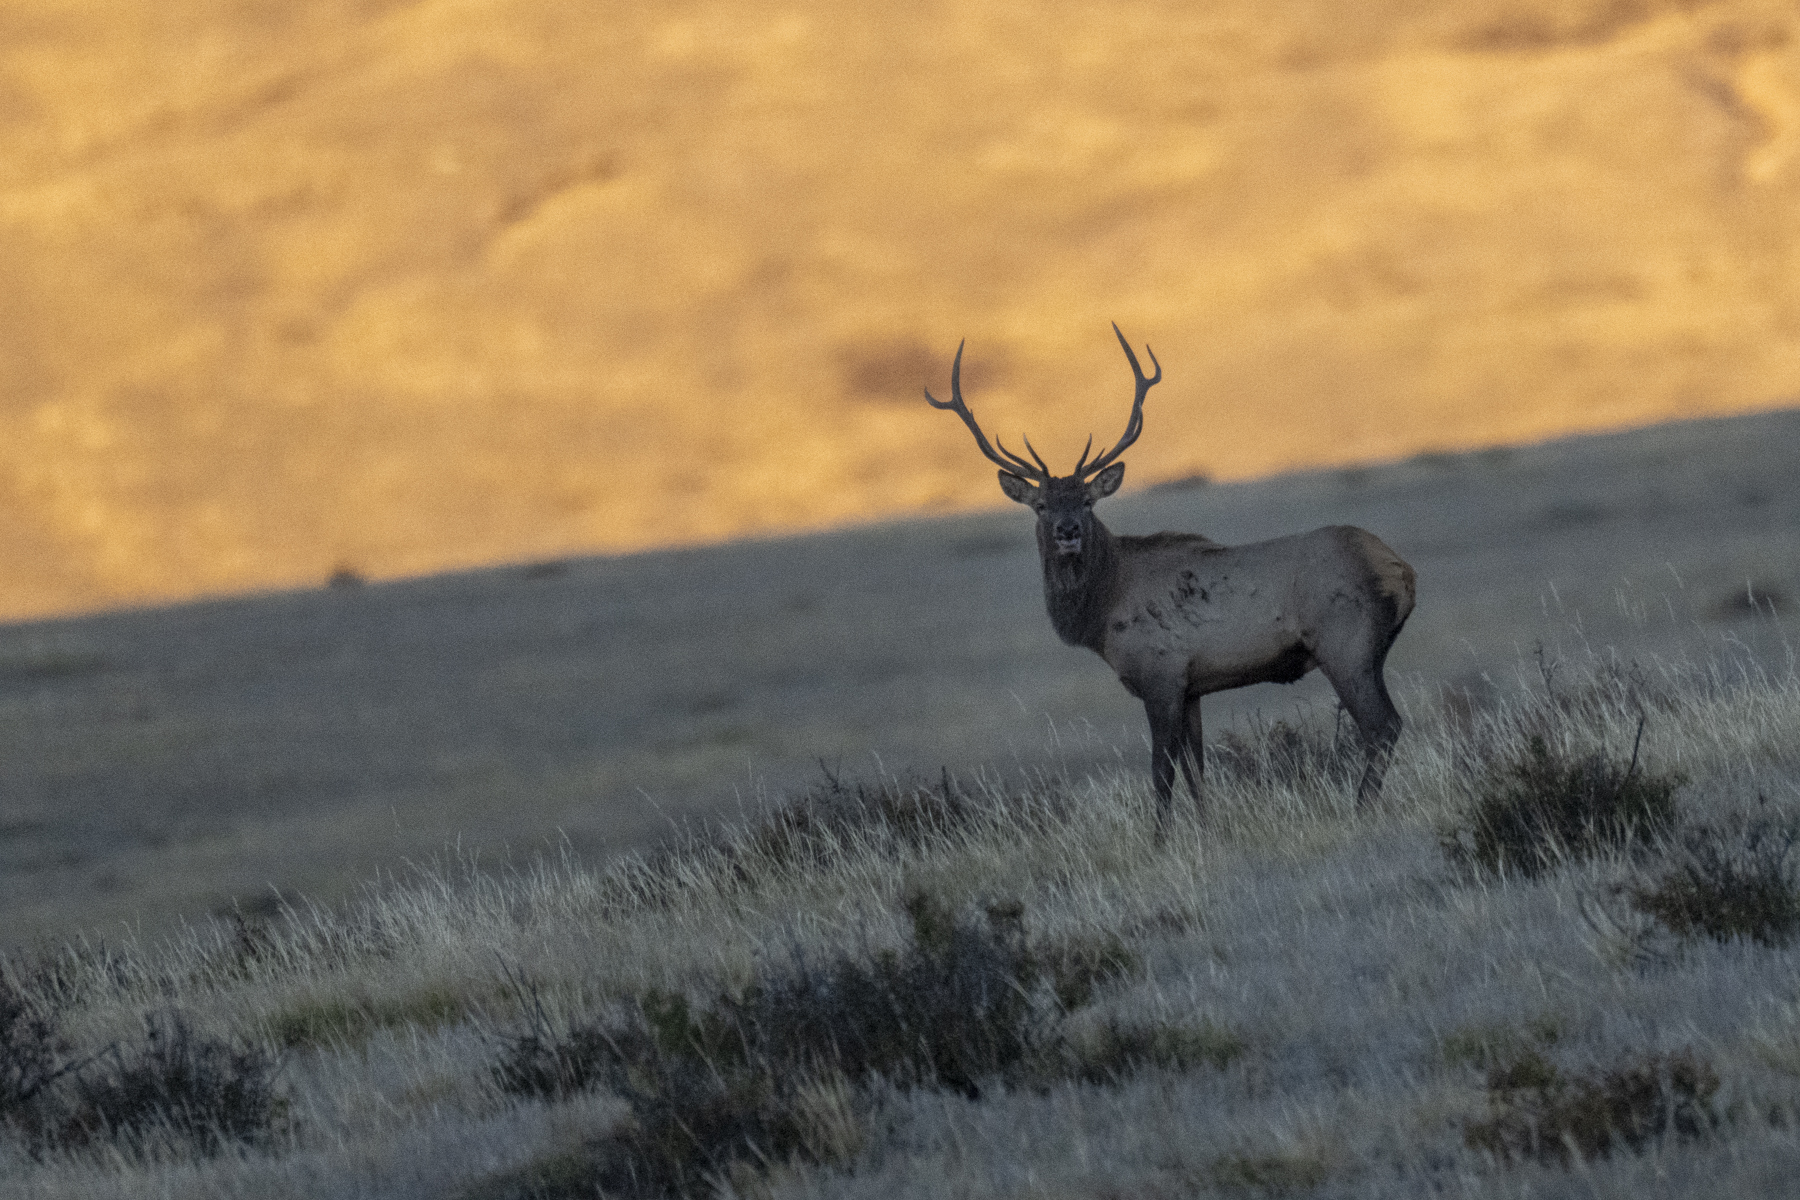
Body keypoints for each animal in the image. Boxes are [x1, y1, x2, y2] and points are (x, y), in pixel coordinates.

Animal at [926, 325, 1416, 830]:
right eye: (1041, 504)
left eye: (1087, 501)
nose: (1068, 530)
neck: (1101, 614)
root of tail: (1401, 569)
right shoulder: (1191, 686)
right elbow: (1196, 771)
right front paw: (1208, 830)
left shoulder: (1159, 675)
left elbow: (1162, 774)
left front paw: (1161, 839)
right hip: (1368, 651)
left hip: (1345, 645)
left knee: (1383, 727)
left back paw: (1361, 809)